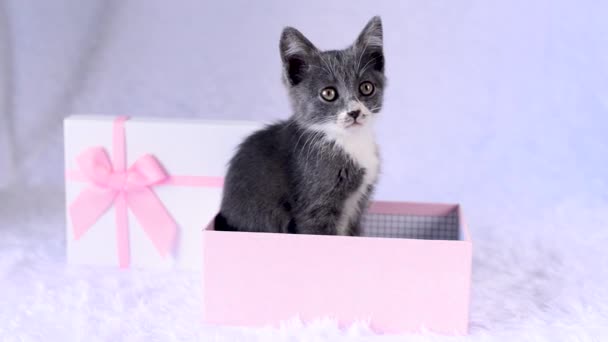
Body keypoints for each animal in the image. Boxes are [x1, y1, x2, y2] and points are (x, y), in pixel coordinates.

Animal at [214, 16, 384, 235]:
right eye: (328, 93)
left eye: (366, 87)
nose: (354, 112)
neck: (348, 141)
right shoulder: (315, 206)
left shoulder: (359, 206)